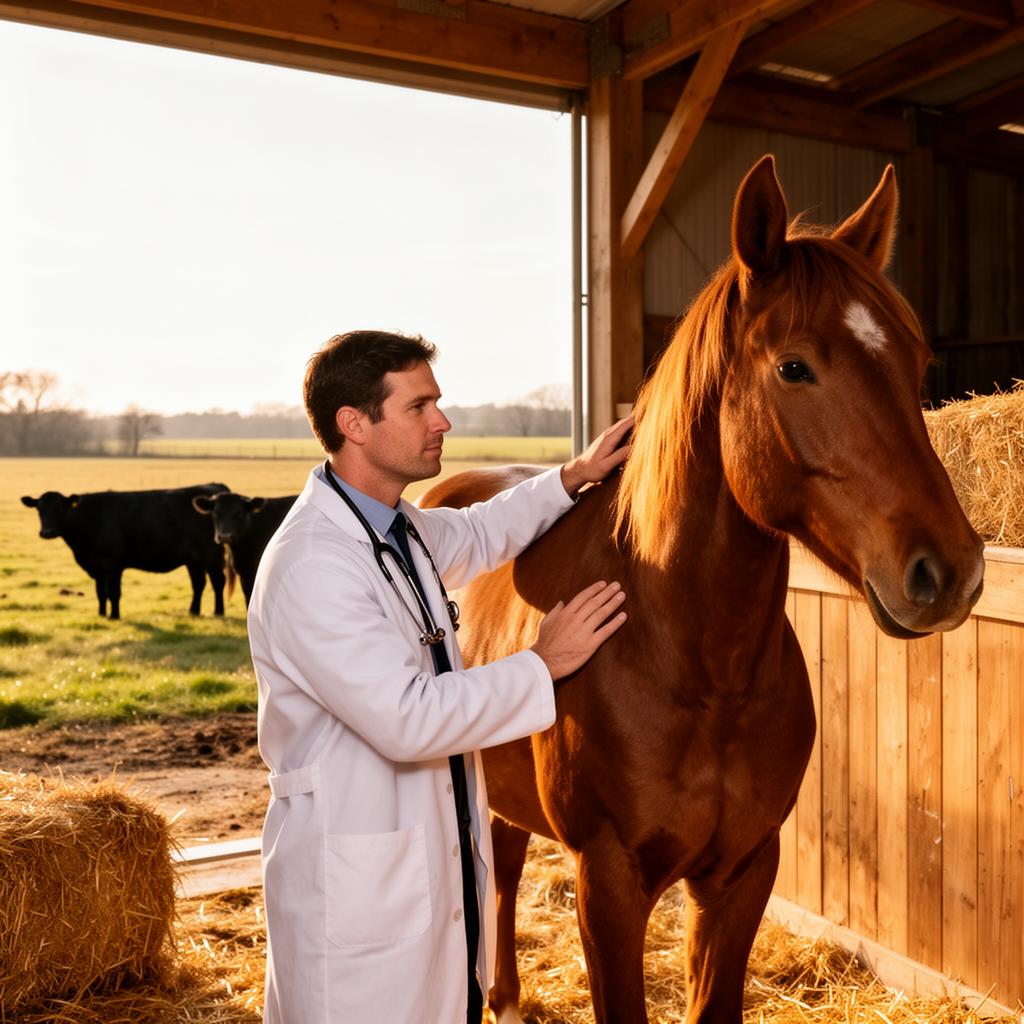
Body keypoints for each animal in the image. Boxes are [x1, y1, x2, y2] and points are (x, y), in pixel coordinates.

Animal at [21, 484, 230, 620]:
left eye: (59, 509)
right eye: (39, 510)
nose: (47, 532)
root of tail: (213, 488)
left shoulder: (112, 564)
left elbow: (113, 592)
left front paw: (114, 616)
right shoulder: (97, 567)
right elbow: (100, 592)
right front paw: (101, 614)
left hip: (212, 554)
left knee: (218, 582)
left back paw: (218, 612)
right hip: (193, 558)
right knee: (198, 583)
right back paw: (193, 611)